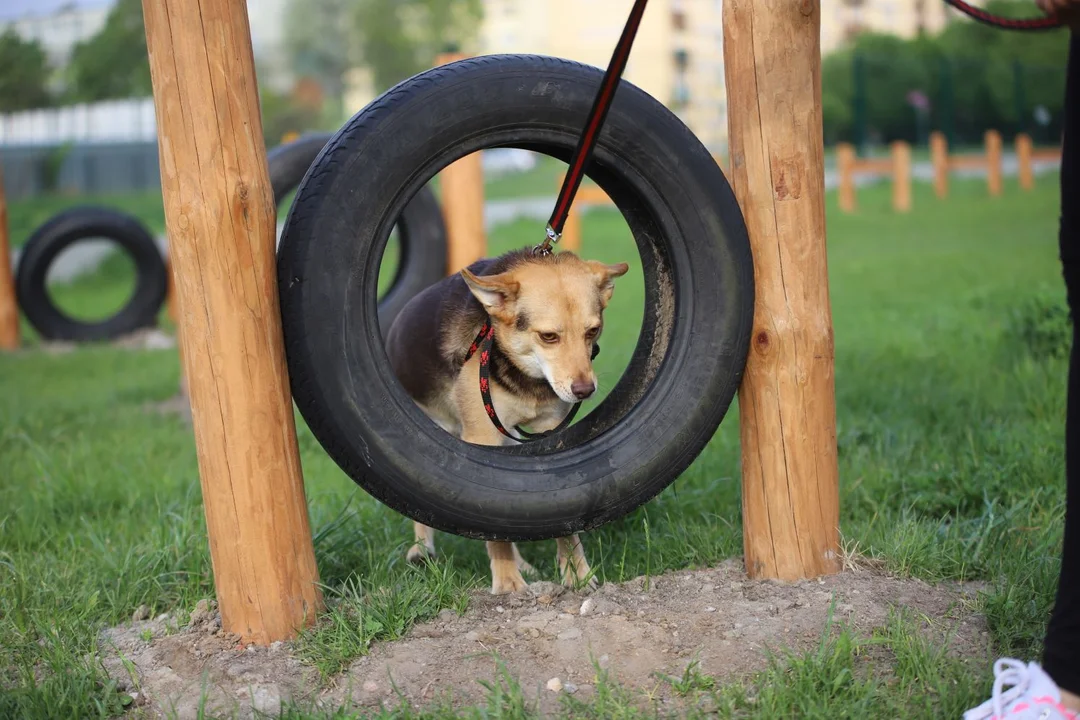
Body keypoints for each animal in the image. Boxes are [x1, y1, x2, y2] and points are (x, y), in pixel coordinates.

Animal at [384, 245, 630, 595]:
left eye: (592, 331)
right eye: (548, 336)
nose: (585, 390)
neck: (522, 375)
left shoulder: (549, 433)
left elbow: (560, 513)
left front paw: (577, 574)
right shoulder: (483, 437)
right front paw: (508, 582)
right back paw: (421, 550)